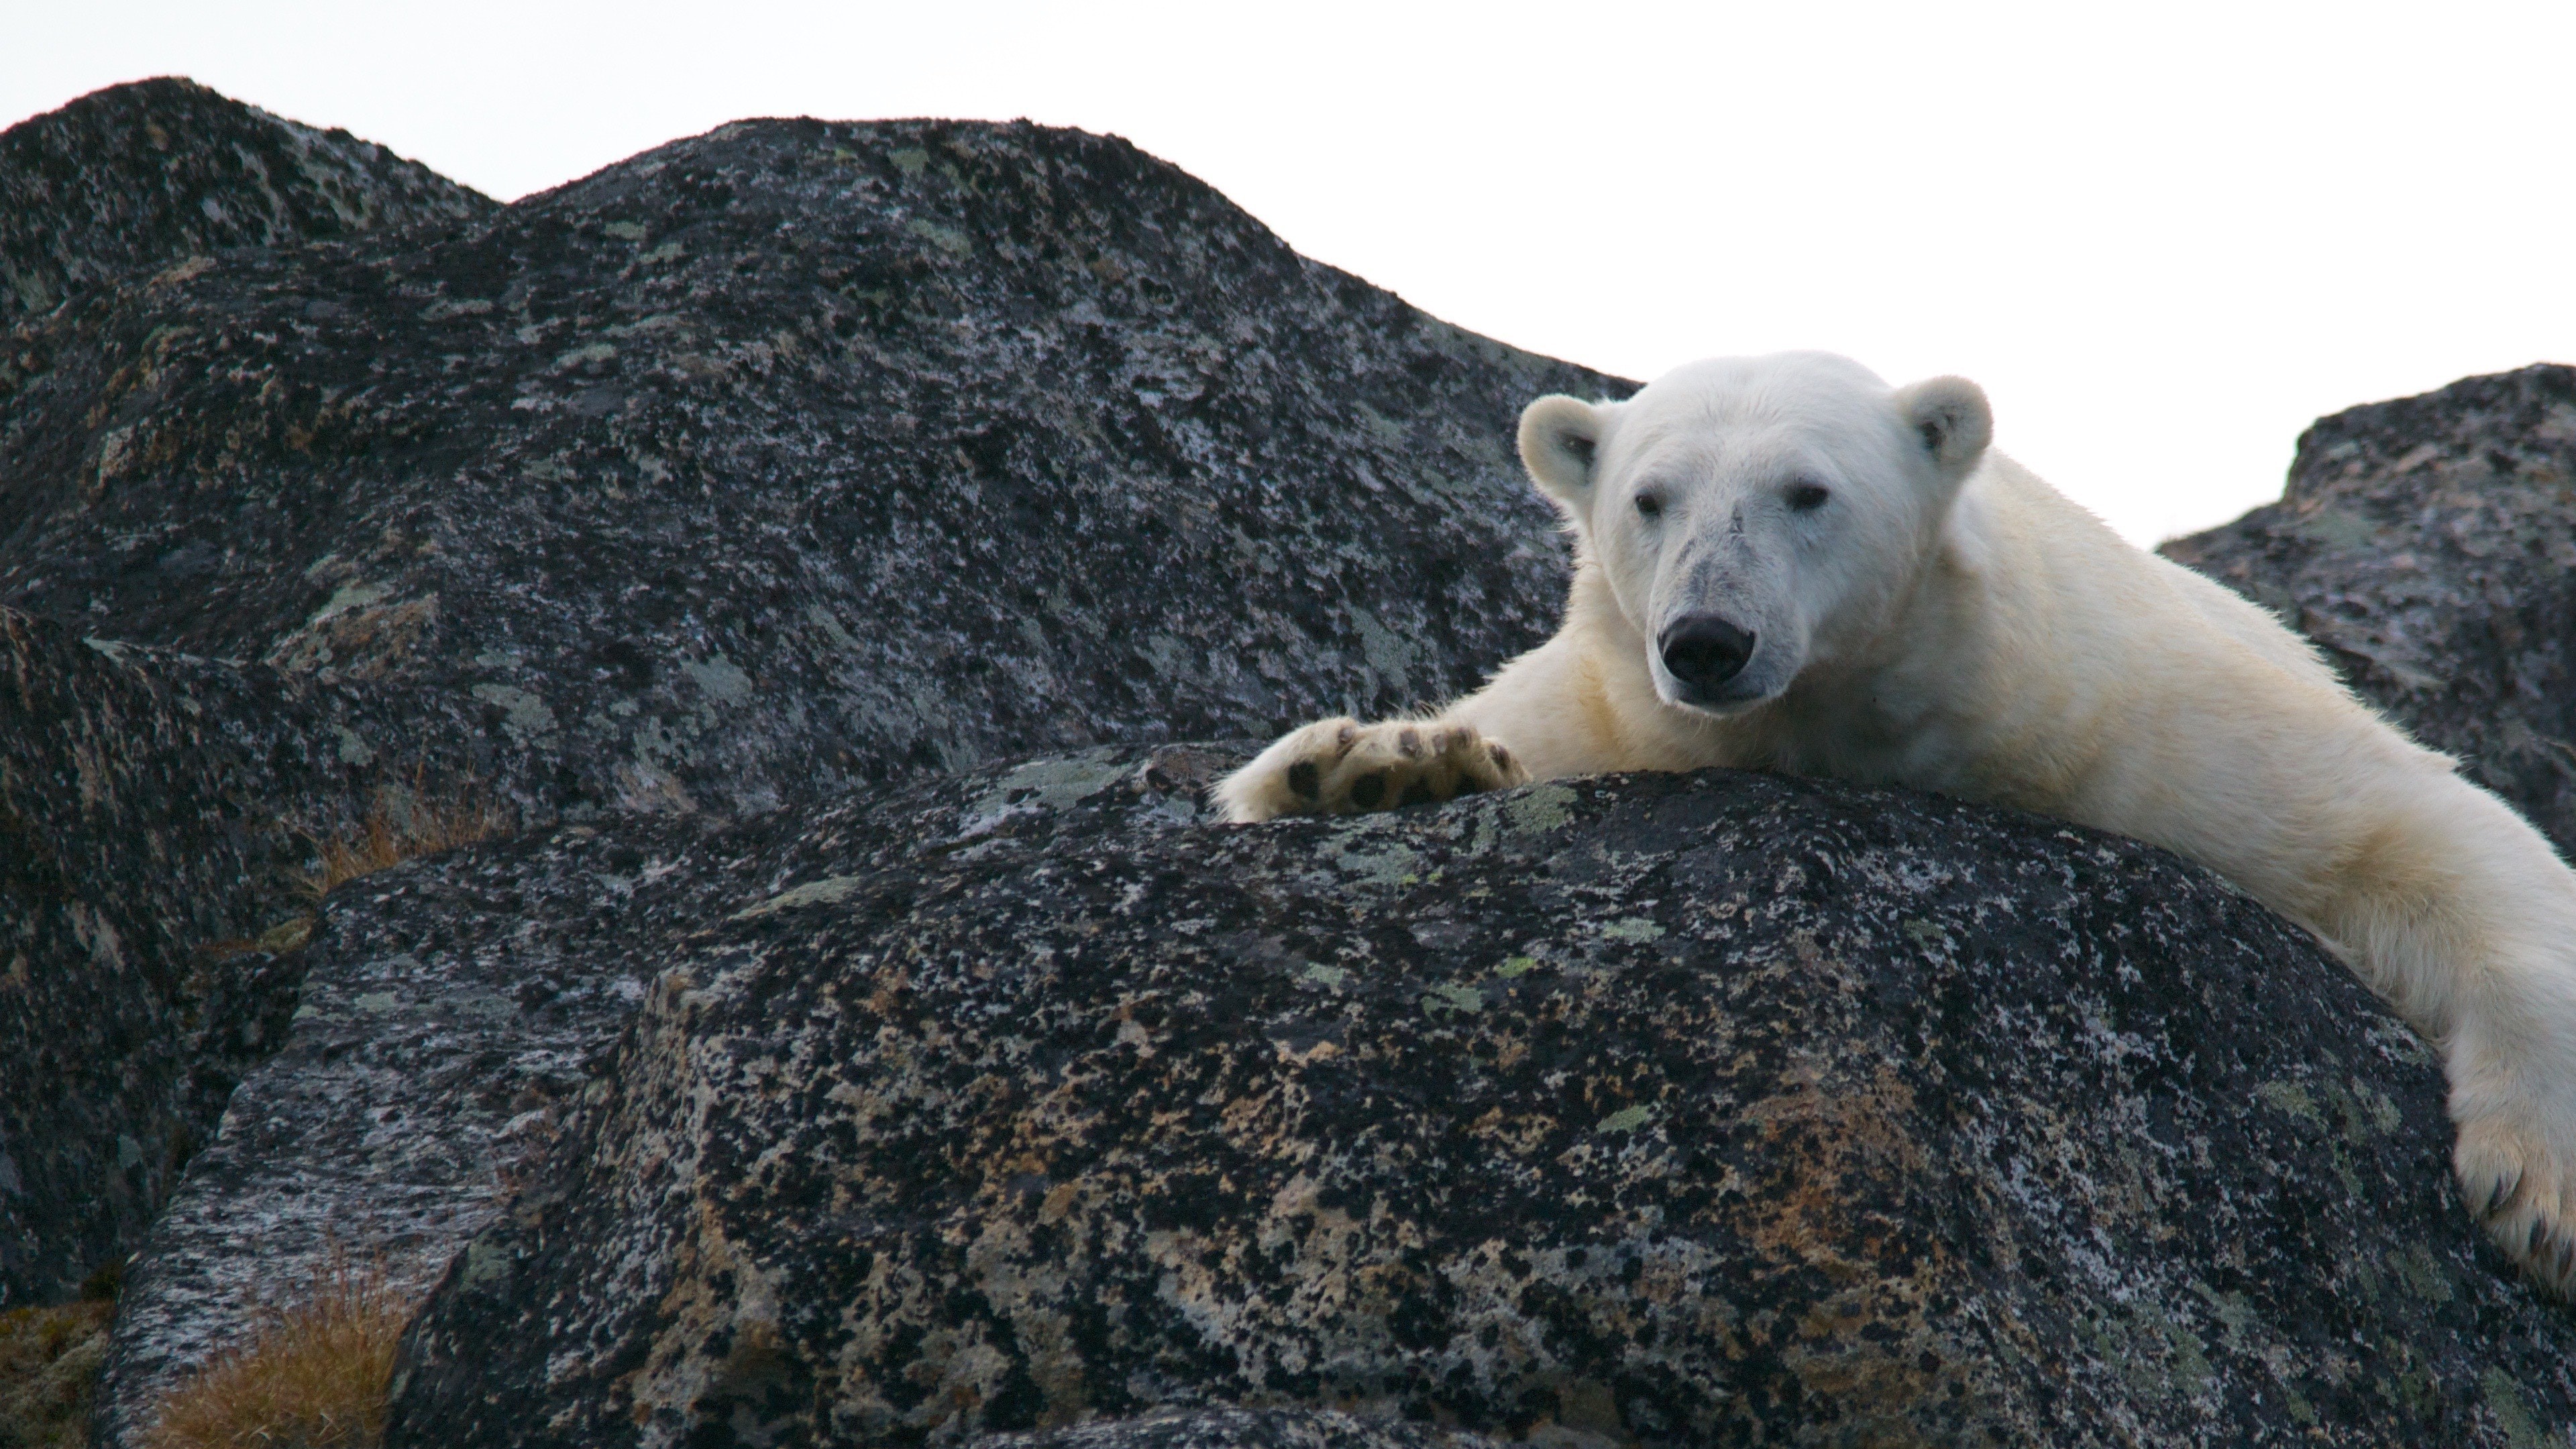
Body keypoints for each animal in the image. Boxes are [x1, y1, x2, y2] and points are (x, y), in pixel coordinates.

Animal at [1218, 350, 2576, 1294]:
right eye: (1650, 498)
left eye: (1807, 491)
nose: (1706, 639)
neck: (1860, 717)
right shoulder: (1609, 709)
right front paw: (1376, 765)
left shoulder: (2135, 715)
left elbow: (2422, 832)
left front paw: (2540, 1195)